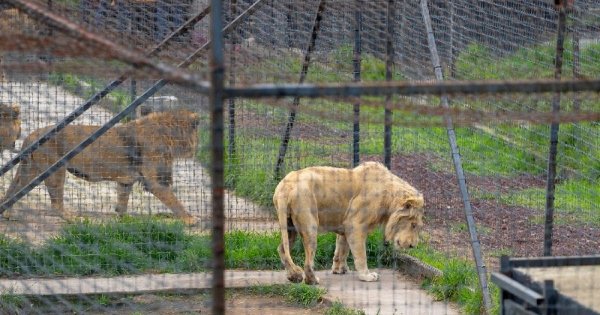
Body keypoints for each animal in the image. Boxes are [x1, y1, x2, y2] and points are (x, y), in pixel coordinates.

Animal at [0, 110, 202, 226]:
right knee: (55, 204)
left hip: (29, 168)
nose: (195, 150)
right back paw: (73, 218)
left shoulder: (126, 180)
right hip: (55, 170)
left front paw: (124, 219)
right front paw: (190, 219)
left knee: (14, 189)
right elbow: (174, 201)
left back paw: (8, 213)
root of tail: (31, 135)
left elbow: (122, 201)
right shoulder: (156, 182)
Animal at [274, 162, 424, 286]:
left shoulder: (345, 225)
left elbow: (342, 249)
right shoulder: (355, 224)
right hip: (310, 224)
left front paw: (339, 269)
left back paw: (294, 276)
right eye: (413, 225)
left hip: (289, 227)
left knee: (282, 249)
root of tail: (285, 187)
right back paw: (312, 280)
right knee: (307, 262)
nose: (413, 246)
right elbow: (361, 254)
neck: (389, 198)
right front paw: (366, 276)